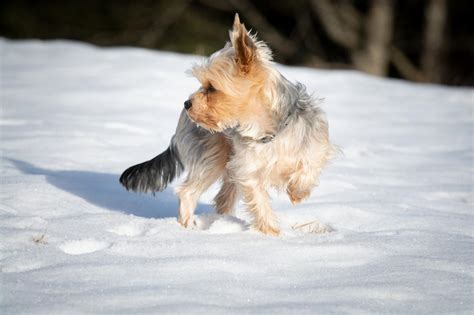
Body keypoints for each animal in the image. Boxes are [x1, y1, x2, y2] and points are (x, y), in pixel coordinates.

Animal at [121, 15, 336, 237]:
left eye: (211, 88)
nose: (187, 103)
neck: (268, 131)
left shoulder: (315, 144)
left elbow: (309, 166)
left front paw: (297, 193)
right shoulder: (249, 171)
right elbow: (260, 203)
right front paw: (271, 234)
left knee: (223, 197)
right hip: (212, 155)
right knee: (188, 192)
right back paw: (188, 230)